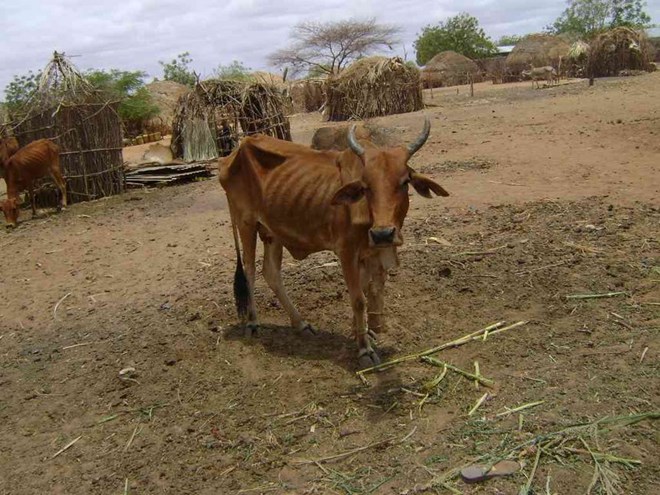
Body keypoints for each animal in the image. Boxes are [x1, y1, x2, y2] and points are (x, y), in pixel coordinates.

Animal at [219, 118, 448, 368]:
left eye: (405, 181)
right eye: (366, 186)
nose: (383, 234)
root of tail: (234, 153)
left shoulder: (368, 254)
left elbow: (367, 291)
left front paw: (363, 333)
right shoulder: (346, 251)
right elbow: (358, 300)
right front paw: (364, 349)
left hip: (272, 232)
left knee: (271, 272)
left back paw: (301, 324)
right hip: (246, 223)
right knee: (249, 271)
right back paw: (252, 323)